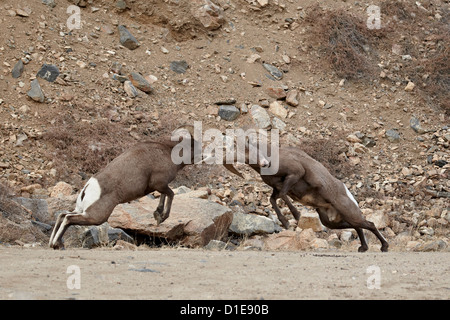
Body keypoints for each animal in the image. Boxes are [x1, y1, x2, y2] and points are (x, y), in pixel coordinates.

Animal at [227, 145, 388, 252]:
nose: (263, 163)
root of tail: (345, 191)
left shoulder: (294, 175)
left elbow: (282, 196)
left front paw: (295, 217)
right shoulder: (276, 188)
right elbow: (273, 200)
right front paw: (285, 222)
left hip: (348, 213)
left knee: (370, 224)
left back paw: (384, 247)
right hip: (331, 221)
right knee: (358, 226)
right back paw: (363, 248)